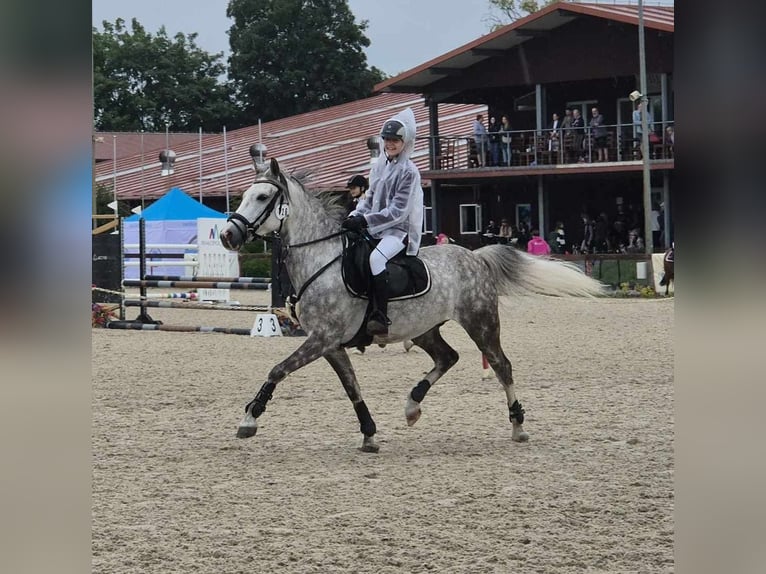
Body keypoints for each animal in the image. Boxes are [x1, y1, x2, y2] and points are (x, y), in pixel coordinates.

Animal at [220, 158, 607, 452]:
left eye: (263, 196)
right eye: (245, 195)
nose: (227, 235)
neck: (321, 259)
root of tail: (475, 256)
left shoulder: (321, 339)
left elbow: (278, 370)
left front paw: (249, 418)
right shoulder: (330, 344)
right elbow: (352, 387)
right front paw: (369, 435)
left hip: (480, 322)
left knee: (501, 366)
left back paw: (518, 426)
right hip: (424, 329)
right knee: (447, 357)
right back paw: (411, 406)